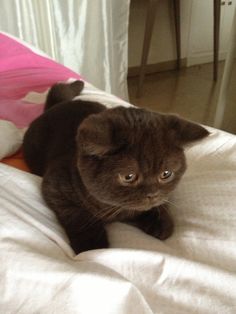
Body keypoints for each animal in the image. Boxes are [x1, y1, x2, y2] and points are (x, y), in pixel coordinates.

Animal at [23, 79, 209, 254]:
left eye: (166, 174)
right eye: (129, 177)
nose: (152, 194)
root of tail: (58, 104)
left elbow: (159, 202)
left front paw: (160, 220)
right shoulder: (54, 186)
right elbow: (78, 215)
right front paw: (92, 244)